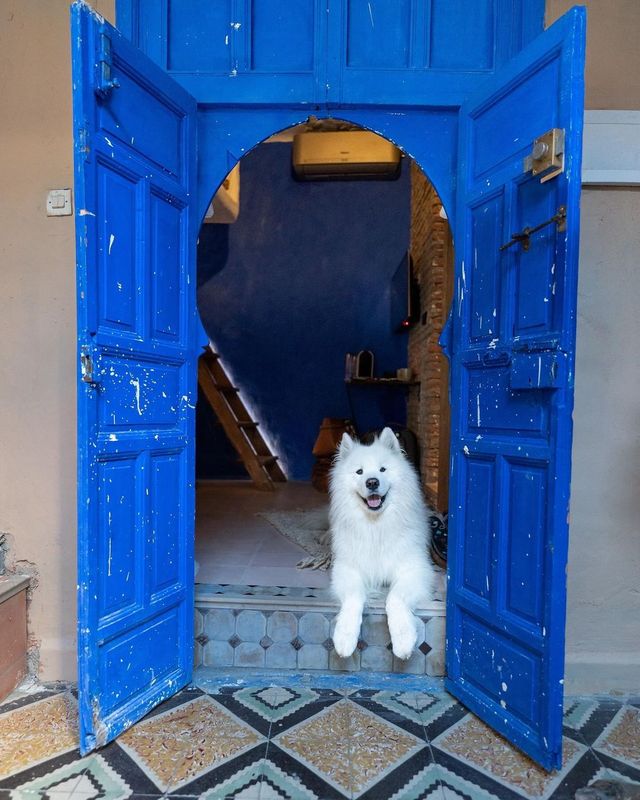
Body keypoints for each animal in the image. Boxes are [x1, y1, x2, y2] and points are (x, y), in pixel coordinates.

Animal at [330, 428, 436, 660]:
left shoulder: (414, 570)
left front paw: (404, 639)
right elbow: (354, 597)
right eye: (359, 472)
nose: (372, 482)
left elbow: (395, 598)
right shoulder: (347, 570)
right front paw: (344, 637)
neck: (376, 527)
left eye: (382, 469)